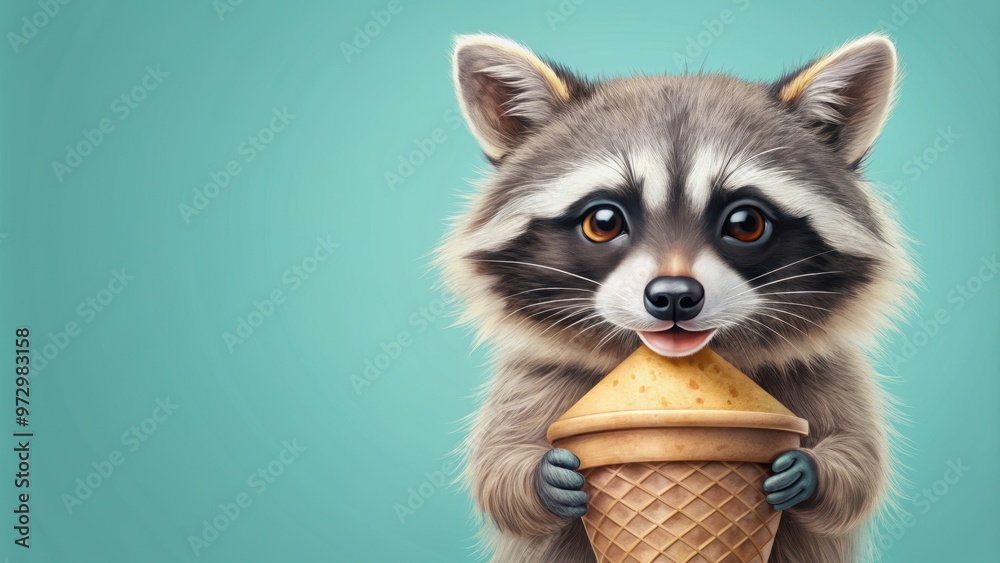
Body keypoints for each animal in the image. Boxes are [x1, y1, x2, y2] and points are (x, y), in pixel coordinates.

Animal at [436, 33, 915, 563]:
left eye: (746, 223)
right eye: (603, 222)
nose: (673, 297)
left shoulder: (830, 370)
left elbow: (859, 464)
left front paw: (812, 471)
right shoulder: (533, 375)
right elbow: (497, 469)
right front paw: (542, 477)